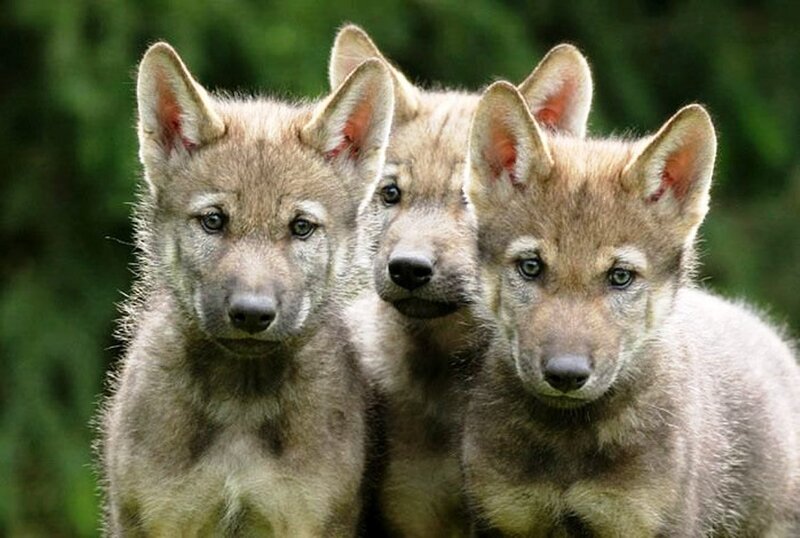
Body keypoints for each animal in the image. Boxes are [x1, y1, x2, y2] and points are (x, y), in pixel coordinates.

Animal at [99, 42, 394, 536]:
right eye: (214, 220)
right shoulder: (159, 516)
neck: (240, 402)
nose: (252, 314)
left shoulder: (306, 518)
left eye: (301, 227)